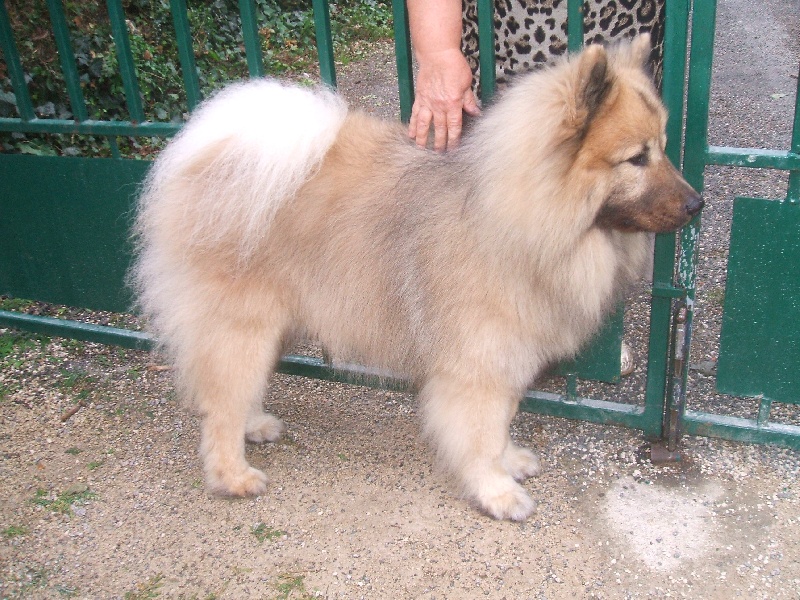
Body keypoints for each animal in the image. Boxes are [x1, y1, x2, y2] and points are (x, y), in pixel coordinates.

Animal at [132, 35, 702, 521]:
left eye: (662, 146)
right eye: (636, 158)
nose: (697, 204)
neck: (517, 217)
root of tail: (210, 158)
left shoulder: (503, 362)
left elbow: (499, 428)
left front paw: (510, 461)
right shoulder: (476, 367)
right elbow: (479, 435)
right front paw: (496, 491)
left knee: (235, 393)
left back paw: (255, 426)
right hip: (241, 327)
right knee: (221, 404)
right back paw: (233, 475)